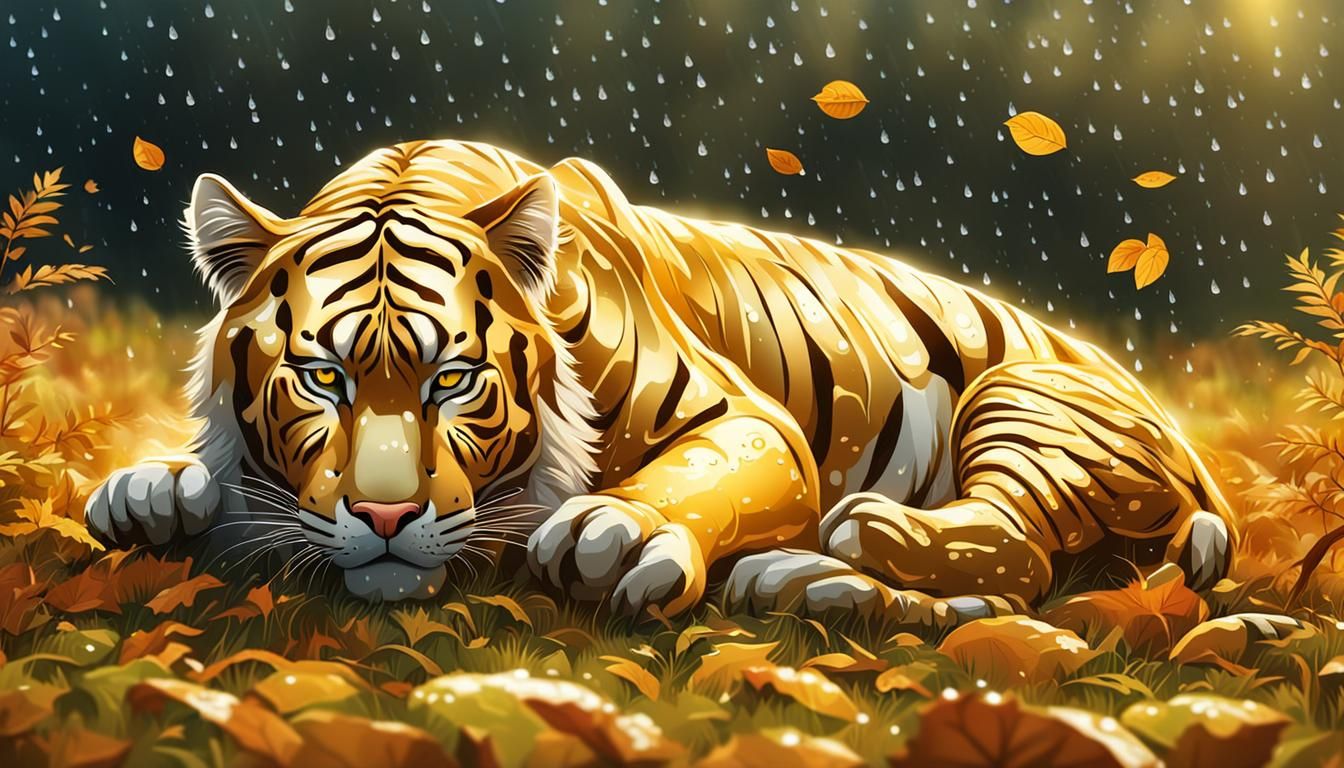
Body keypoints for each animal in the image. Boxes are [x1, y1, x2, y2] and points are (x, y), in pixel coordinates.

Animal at [85, 139, 1232, 627]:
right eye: (322, 378)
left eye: (454, 380)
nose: (383, 518)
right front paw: (153, 490)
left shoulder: (753, 423)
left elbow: (687, 479)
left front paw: (620, 531)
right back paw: (807, 582)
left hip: (1026, 395)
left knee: (1018, 552)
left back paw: (853, 538)